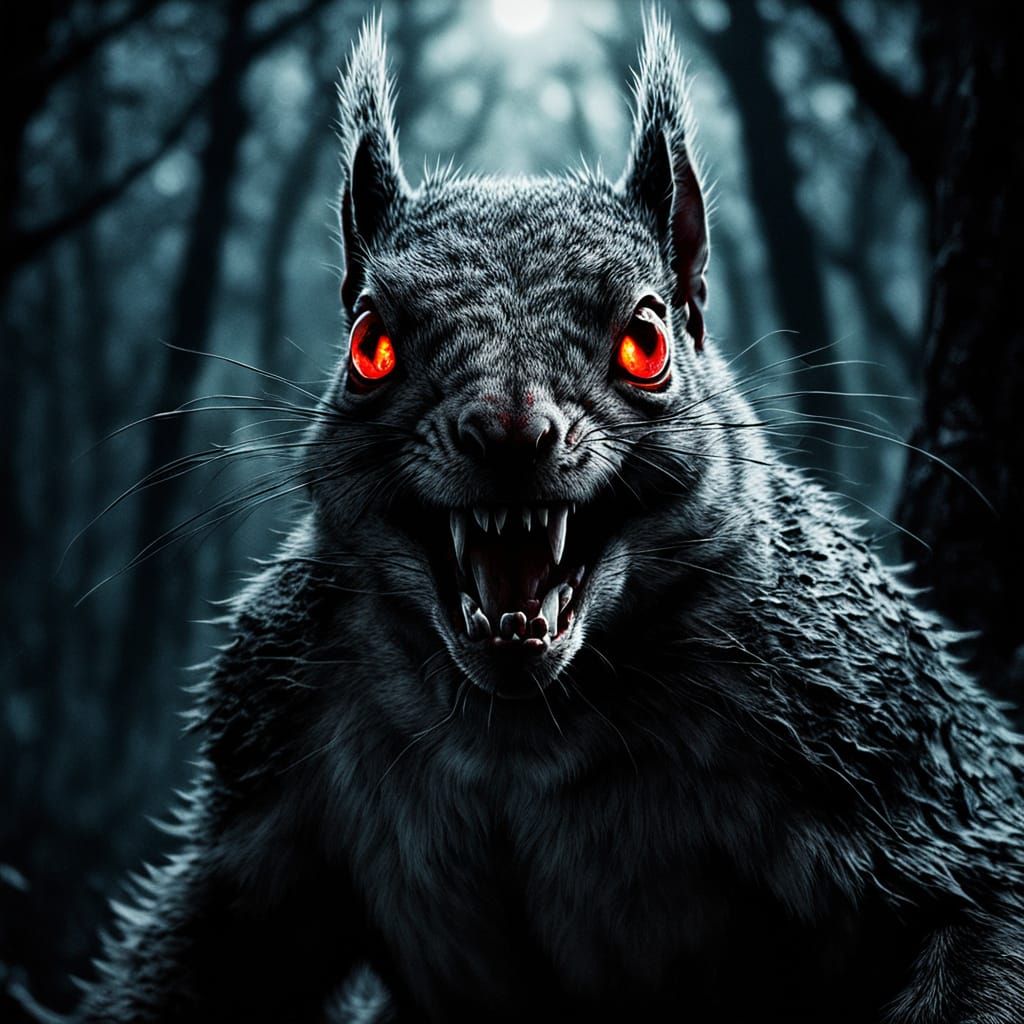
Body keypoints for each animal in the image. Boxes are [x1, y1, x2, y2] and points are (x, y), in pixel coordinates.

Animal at [78, 13, 1024, 1023]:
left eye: (646, 340)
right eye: (369, 344)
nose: (506, 432)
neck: (524, 723)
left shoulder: (866, 722)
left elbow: (981, 901)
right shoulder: (271, 721)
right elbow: (211, 934)